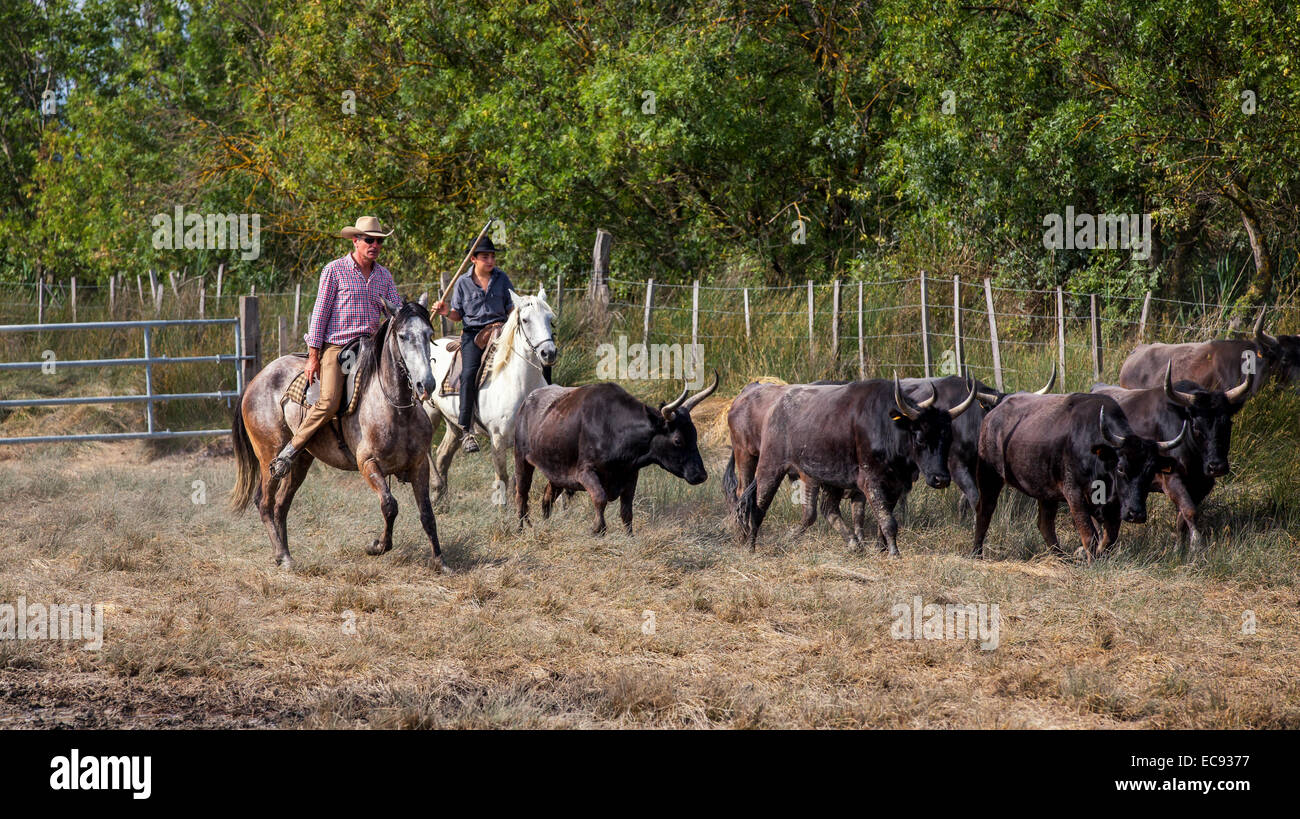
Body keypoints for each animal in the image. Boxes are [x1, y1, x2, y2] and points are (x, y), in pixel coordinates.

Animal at [226, 295, 444, 572]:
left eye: (429, 334)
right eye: (403, 336)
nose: (426, 384)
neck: (395, 408)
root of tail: (255, 380)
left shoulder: (419, 466)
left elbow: (427, 513)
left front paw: (440, 561)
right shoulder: (368, 464)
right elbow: (389, 505)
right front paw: (376, 546)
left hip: (301, 460)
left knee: (281, 505)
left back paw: (285, 553)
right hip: (268, 456)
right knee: (264, 502)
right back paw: (282, 556)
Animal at [421, 288, 553, 506]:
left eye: (550, 318)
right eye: (525, 320)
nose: (549, 353)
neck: (518, 384)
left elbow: (518, 480)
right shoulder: (497, 439)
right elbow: (503, 478)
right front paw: (502, 510)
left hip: (453, 422)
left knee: (443, 454)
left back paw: (441, 500)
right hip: (429, 413)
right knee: (427, 450)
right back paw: (436, 487)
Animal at [514, 374, 722, 535]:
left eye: (694, 435)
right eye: (678, 440)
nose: (701, 474)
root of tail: (529, 399)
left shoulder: (630, 475)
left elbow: (627, 511)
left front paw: (629, 536)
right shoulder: (585, 472)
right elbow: (600, 498)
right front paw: (598, 529)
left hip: (558, 472)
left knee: (547, 497)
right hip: (521, 459)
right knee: (522, 494)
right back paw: (521, 528)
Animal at [743, 377, 977, 559]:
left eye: (947, 438)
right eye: (920, 437)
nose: (941, 479)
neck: (886, 427)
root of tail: (777, 404)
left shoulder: (895, 484)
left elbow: (884, 519)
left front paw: (882, 548)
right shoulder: (870, 481)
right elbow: (888, 520)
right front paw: (894, 552)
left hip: (830, 478)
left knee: (828, 509)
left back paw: (854, 544)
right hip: (771, 467)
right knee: (759, 506)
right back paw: (751, 544)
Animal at [972, 395, 1185, 561]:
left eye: (1150, 472)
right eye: (1121, 468)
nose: (1136, 514)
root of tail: (991, 415)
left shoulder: (1115, 505)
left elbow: (1109, 538)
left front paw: (1099, 556)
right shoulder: (1074, 494)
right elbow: (1089, 534)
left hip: (1046, 492)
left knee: (1045, 524)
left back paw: (1062, 558)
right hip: (989, 476)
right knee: (984, 511)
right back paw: (977, 553)